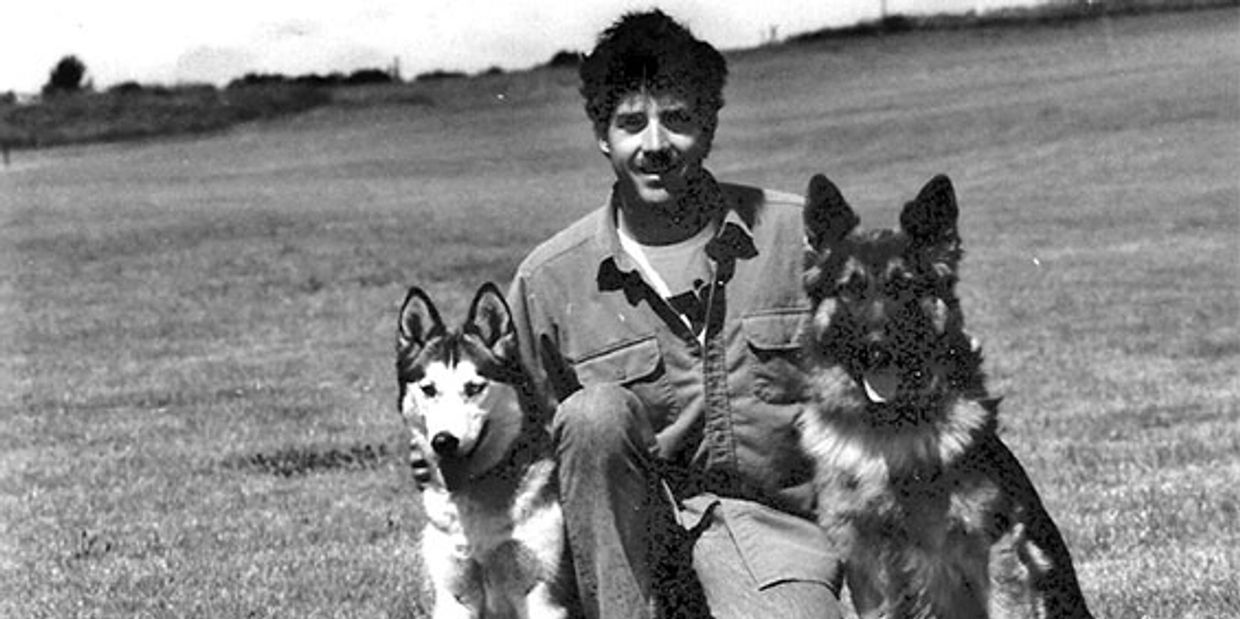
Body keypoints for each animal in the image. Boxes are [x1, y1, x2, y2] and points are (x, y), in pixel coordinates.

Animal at [793, 174, 1096, 619]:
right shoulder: (867, 567)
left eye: (903, 286)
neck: (892, 432)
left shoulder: (996, 550)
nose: (876, 348)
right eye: (851, 290)